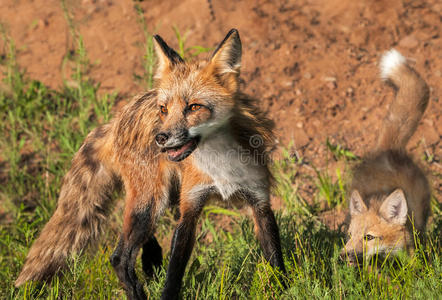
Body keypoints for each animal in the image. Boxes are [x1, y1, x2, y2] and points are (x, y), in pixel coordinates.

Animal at [13, 29, 286, 298]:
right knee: (120, 258)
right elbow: (174, 273)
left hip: (160, 200)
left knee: (140, 244)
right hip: (151, 201)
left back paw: (151, 263)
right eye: (164, 110)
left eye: (194, 107)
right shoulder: (189, 208)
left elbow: (275, 260)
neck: (220, 166)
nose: (160, 138)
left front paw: (283, 290)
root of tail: (117, 119)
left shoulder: (259, 200)